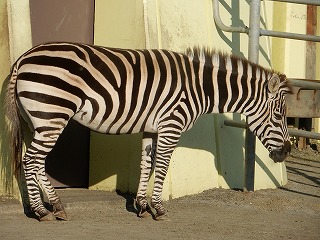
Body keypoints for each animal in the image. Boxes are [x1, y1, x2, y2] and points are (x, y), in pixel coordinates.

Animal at [3, 42, 292, 220]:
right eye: (279, 115)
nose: (287, 152)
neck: (200, 88)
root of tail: (23, 58)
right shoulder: (171, 124)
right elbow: (162, 166)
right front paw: (159, 208)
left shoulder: (151, 128)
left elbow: (146, 164)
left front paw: (141, 206)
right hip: (52, 114)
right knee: (31, 161)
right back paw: (41, 211)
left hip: (37, 120)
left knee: (36, 162)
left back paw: (57, 206)